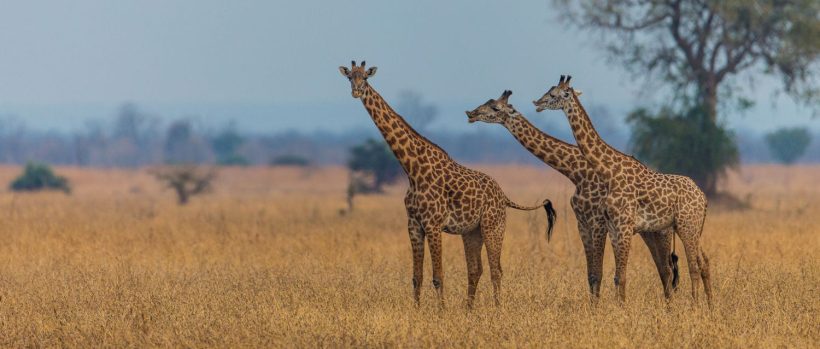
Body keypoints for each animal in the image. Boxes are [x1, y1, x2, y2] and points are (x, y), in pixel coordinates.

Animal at [334, 60, 556, 308]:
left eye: (365, 78)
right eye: (350, 77)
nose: (356, 91)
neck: (412, 169)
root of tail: (504, 195)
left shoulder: (433, 224)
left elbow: (438, 276)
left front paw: (441, 310)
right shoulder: (414, 225)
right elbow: (416, 276)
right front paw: (417, 310)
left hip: (494, 226)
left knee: (496, 269)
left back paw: (498, 309)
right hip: (471, 232)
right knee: (475, 269)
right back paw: (468, 310)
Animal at [464, 90, 684, 300]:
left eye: (494, 107)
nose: (470, 114)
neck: (576, 173)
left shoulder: (597, 222)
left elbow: (598, 272)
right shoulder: (582, 222)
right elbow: (591, 274)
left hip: (661, 231)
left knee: (667, 269)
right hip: (648, 231)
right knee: (664, 269)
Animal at [532, 75, 712, 304]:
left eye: (554, 94)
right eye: (549, 91)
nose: (537, 103)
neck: (609, 171)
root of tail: (703, 197)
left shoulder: (623, 225)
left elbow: (621, 276)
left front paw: (621, 309)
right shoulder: (613, 227)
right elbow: (616, 275)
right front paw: (618, 307)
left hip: (686, 226)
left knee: (692, 266)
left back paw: (695, 306)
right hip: (693, 227)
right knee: (701, 262)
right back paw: (709, 305)